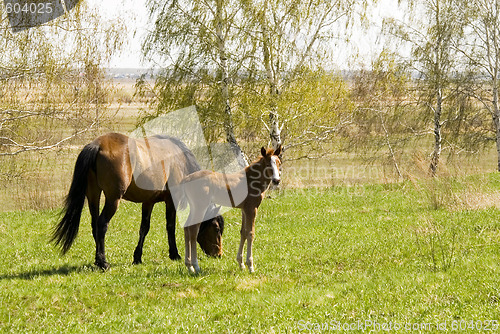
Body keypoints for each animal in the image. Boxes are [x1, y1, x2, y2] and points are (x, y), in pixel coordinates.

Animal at [51, 132, 224, 270]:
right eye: (216, 228)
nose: (218, 254)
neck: (179, 160)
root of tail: (97, 144)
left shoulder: (148, 201)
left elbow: (144, 228)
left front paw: (137, 257)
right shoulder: (170, 201)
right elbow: (170, 227)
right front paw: (174, 254)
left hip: (93, 195)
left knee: (94, 225)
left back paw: (97, 260)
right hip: (113, 200)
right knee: (101, 224)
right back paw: (103, 262)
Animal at [181, 146, 282, 274]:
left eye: (278, 163)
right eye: (268, 164)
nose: (276, 180)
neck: (252, 181)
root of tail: (186, 179)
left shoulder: (244, 209)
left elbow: (243, 232)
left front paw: (241, 264)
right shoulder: (252, 209)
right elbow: (250, 233)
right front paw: (250, 266)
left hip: (194, 207)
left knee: (187, 227)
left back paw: (189, 266)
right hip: (200, 206)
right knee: (193, 230)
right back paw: (196, 266)